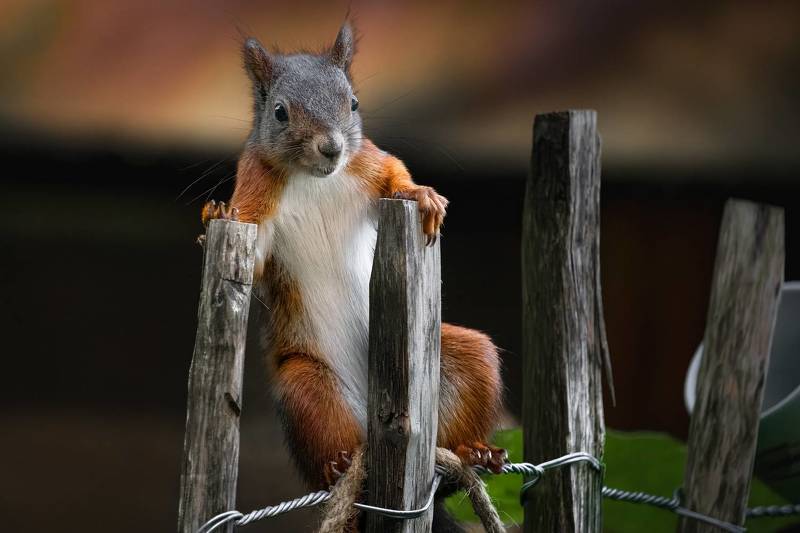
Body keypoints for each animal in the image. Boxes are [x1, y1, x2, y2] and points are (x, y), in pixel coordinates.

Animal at [202, 21, 506, 512]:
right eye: (280, 112)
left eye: (354, 103)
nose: (332, 147)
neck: (314, 179)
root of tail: (378, 426)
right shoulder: (255, 191)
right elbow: (252, 253)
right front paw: (216, 214)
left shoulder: (369, 163)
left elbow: (395, 175)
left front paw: (422, 196)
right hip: (306, 385)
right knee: (325, 437)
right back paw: (338, 466)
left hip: (461, 362)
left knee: (471, 376)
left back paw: (475, 451)